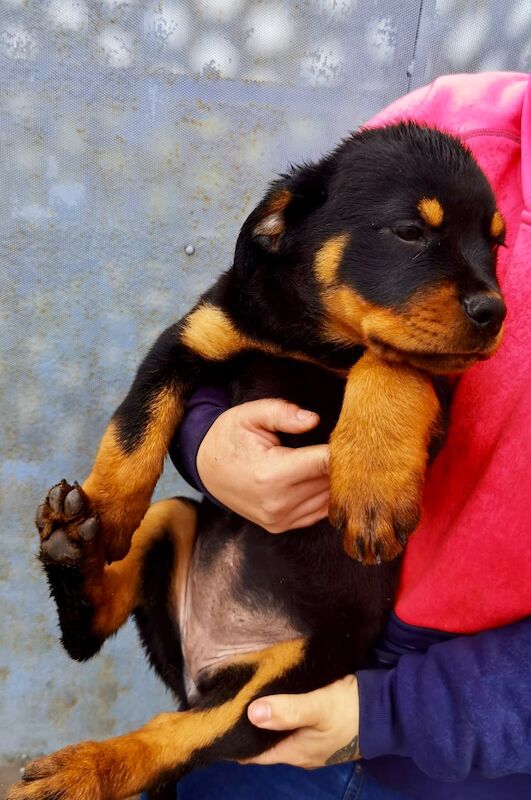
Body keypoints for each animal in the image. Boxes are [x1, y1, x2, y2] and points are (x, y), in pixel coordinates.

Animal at [9, 123, 508, 800]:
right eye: (410, 231)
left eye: (497, 243)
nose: (495, 312)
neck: (313, 337)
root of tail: (201, 666)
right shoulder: (189, 340)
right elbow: (134, 427)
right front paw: (108, 511)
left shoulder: (438, 386)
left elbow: (391, 364)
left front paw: (372, 486)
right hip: (173, 519)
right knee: (90, 637)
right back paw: (74, 545)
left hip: (276, 690)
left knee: (170, 738)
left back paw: (85, 768)